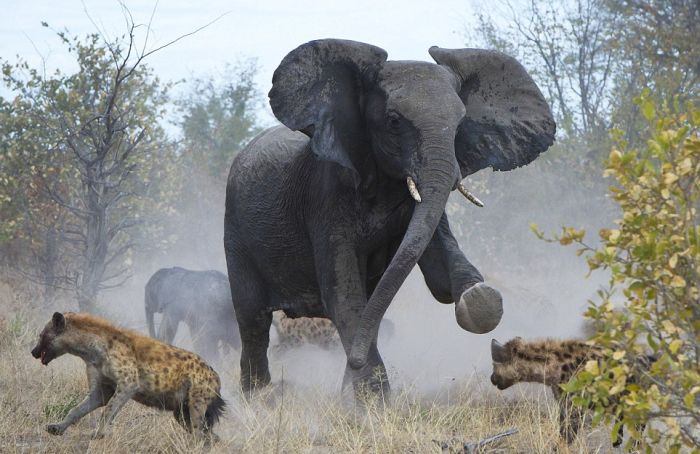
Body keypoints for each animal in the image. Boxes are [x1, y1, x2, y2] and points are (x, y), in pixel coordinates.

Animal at [31, 312, 224, 440]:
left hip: (197, 400)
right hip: (181, 411)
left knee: (200, 431)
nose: (33, 352)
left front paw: (98, 433)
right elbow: (77, 409)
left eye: (41, 335)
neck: (93, 351)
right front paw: (56, 428)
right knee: (209, 435)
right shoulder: (101, 388)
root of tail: (216, 375)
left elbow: (108, 409)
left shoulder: (129, 383)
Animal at [221, 40, 556, 400]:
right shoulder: (325, 195)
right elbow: (342, 292)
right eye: (394, 121)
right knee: (252, 318)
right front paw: (371, 401)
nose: (351, 362)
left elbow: (439, 273)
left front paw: (479, 299)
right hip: (235, 230)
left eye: (460, 124)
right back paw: (258, 397)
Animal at [490, 336, 648, 446]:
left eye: (493, 366)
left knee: (638, 423)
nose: (491, 378)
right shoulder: (562, 399)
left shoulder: (574, 402)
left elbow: (567, 434)